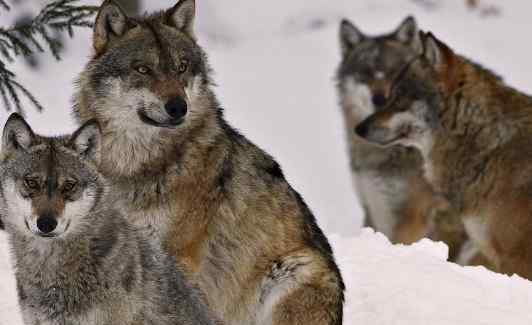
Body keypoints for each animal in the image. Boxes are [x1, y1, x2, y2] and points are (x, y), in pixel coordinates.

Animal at [72, 1, 342, 322]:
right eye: (143, 69)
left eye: (181, 67)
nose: (178, 107)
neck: (136, 164)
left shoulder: (180, 256)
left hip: (294, 269)